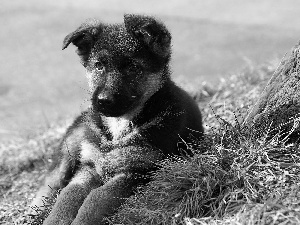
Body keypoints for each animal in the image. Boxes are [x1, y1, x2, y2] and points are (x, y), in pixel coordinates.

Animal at [31, 14, 204, 225]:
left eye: (132, 67)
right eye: (99, 66)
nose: (102, 101)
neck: (117, 127)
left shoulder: (136, 170)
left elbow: (96, 198)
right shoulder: (88, 166)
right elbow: (68, 194)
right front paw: (55, 219)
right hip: (71, 146)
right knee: (51, 182)